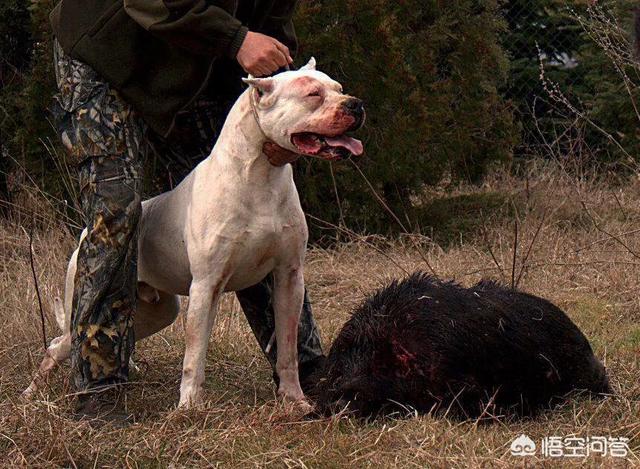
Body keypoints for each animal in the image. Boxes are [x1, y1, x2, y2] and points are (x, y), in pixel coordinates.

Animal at [22, 58, 364, 408]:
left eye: (338, 89)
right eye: (313, 94)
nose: (356, 104)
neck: (261, 173)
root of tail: (83, 235)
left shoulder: (289, 277)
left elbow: (288, 347)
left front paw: (295, 400)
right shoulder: (206, 284)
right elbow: (194, 353)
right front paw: (188, 406)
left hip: (158, 311)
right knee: (59, 344)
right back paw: (32, 392)